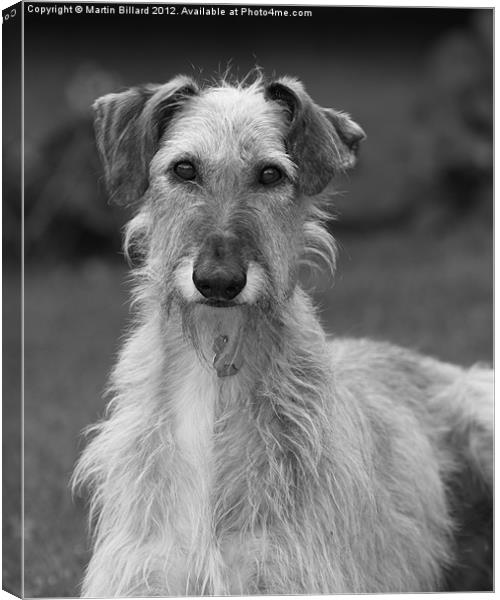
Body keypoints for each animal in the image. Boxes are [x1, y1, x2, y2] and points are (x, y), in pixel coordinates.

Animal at [73, 72, 492, 592]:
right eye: (184, 169)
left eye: (270, 174)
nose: (218, 282)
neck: (215, 366)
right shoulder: (143, 572)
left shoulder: (289, 571)